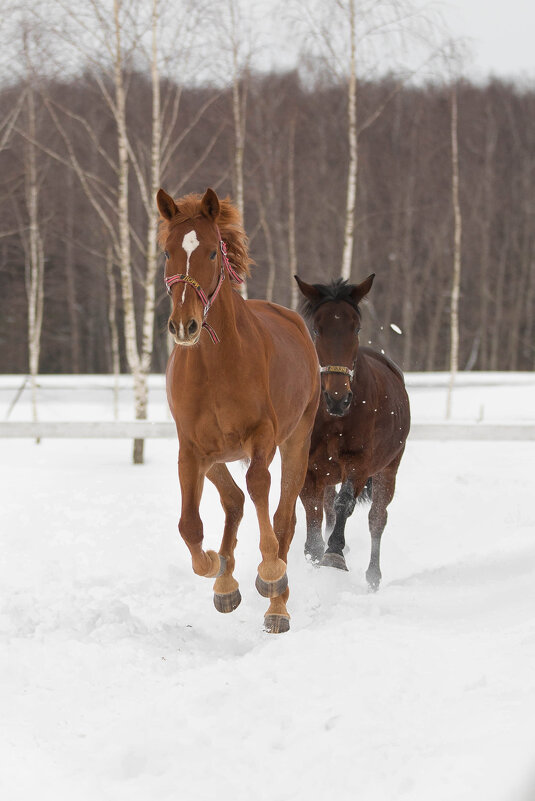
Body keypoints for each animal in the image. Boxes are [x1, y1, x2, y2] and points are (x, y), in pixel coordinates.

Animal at [157, 188, 320, 632]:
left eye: (213, 251)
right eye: (167, 251)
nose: (185, 326)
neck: (215, 366)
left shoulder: (262, 438)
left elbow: (260, 488)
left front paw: (270, 572)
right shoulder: (191, 449)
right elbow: (189, 524)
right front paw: (214, 566)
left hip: (297, 441)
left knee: (282, 516)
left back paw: (277, 605)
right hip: (216, 457)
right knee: (232, 500)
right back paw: (226, 582)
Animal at [298, 276, 410, 588]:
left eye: (356, 328)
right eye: (317, 328)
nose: (338, 398)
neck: (332, 419)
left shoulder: (359, 462)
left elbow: (345, 503)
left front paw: (334, 554)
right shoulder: (308, 466)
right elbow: (312, 511)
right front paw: (314, 554)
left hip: (388, 468)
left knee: (377, 518)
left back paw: (373, 577)